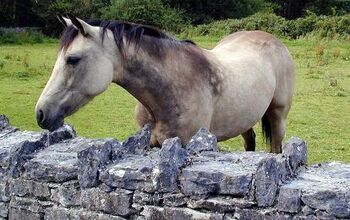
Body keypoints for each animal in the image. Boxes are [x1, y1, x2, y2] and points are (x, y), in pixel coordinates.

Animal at [35, 15, 294, 153]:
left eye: (73, 59)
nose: (41, 113)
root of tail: (272, 40)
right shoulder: (152, 144)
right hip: (243, 118)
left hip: (278, 117)